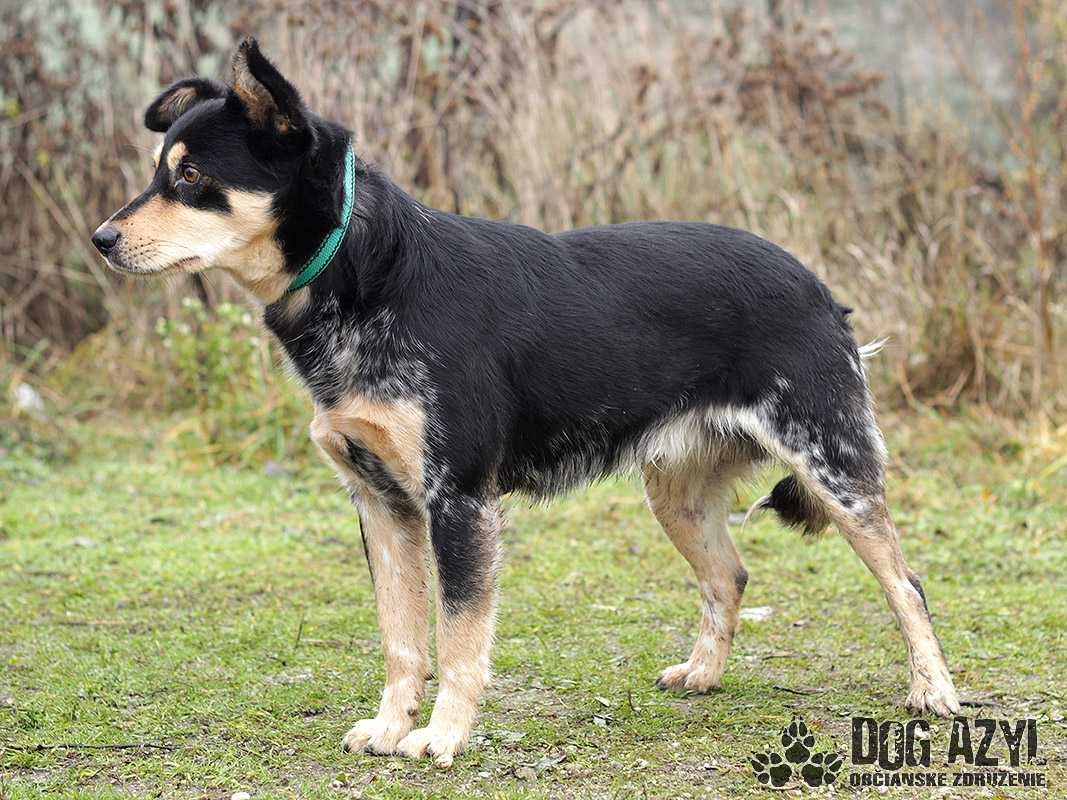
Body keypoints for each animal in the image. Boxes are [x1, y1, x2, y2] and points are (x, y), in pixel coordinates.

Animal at [93, 38, 961, 766]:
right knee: (730, 576)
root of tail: (815, 284)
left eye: (191, 177)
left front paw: (442, 738)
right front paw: (391, 725)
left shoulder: (457, 502)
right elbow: (402, 639)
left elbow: (456, 638)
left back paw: (933, 692)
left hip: (833, 469)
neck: (370, 274)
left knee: (906, 584)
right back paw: (705, 673)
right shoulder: (380, 503)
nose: (101, 239)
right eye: (159, 170)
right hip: (674, 493)